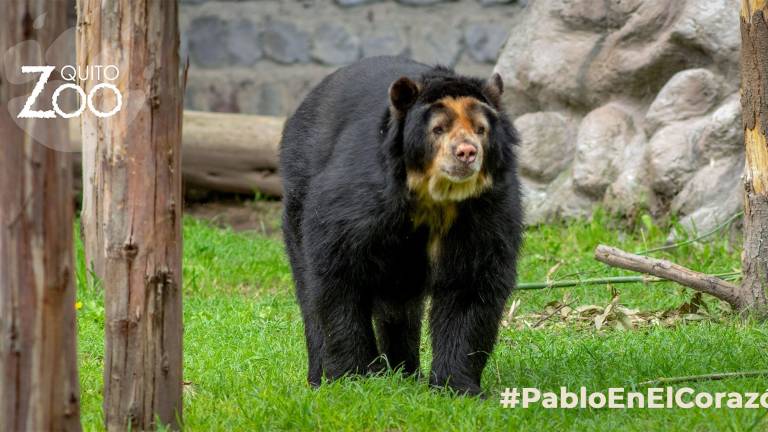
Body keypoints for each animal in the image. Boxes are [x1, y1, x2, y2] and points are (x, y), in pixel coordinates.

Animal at [279, 56, 523, 396]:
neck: (437, 198)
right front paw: (350, 378)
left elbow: (471, 286)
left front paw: (457, 387)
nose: (466, 152)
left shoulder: (487, 213)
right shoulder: (358, 203)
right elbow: (337, 274)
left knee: (399, 307)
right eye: (438, 129)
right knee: (309, 288)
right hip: (298, 196)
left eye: (481, 129)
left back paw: (404, 372)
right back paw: (322, 376)